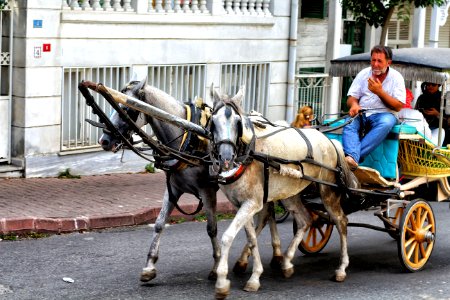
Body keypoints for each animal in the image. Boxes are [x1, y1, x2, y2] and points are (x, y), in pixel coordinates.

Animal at [209, 86, 360, 298]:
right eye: (213, 121)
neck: (249, 153)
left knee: (341, 221)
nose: (225, 157)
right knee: (306, 220)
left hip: (328, 192)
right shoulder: (242, 204)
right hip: (290, 194)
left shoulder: (252, 203)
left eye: (238, 122)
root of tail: (330, 141)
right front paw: (254, 276)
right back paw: (287, 262)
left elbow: (228, 237)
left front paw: (222, 281)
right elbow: (252, 238)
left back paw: (341, 268)